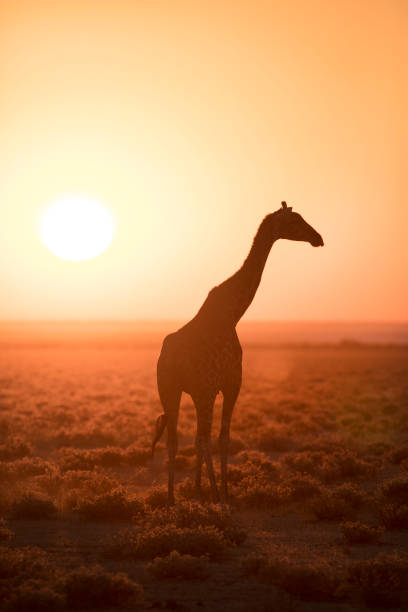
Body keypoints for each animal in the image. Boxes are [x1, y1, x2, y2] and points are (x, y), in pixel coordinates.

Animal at [151, 203, 324, 504]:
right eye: (295, 220)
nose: (318, 238)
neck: (233, 314)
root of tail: (167, 359)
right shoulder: (227, 384)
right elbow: (219, 438)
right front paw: (221, 492)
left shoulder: (217, 388)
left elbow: (213, 438)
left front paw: (208, 490)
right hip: (193, 391)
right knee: (199, 438)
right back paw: (201, 494)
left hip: (173, 390)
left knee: (176, 439)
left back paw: (175, 497)